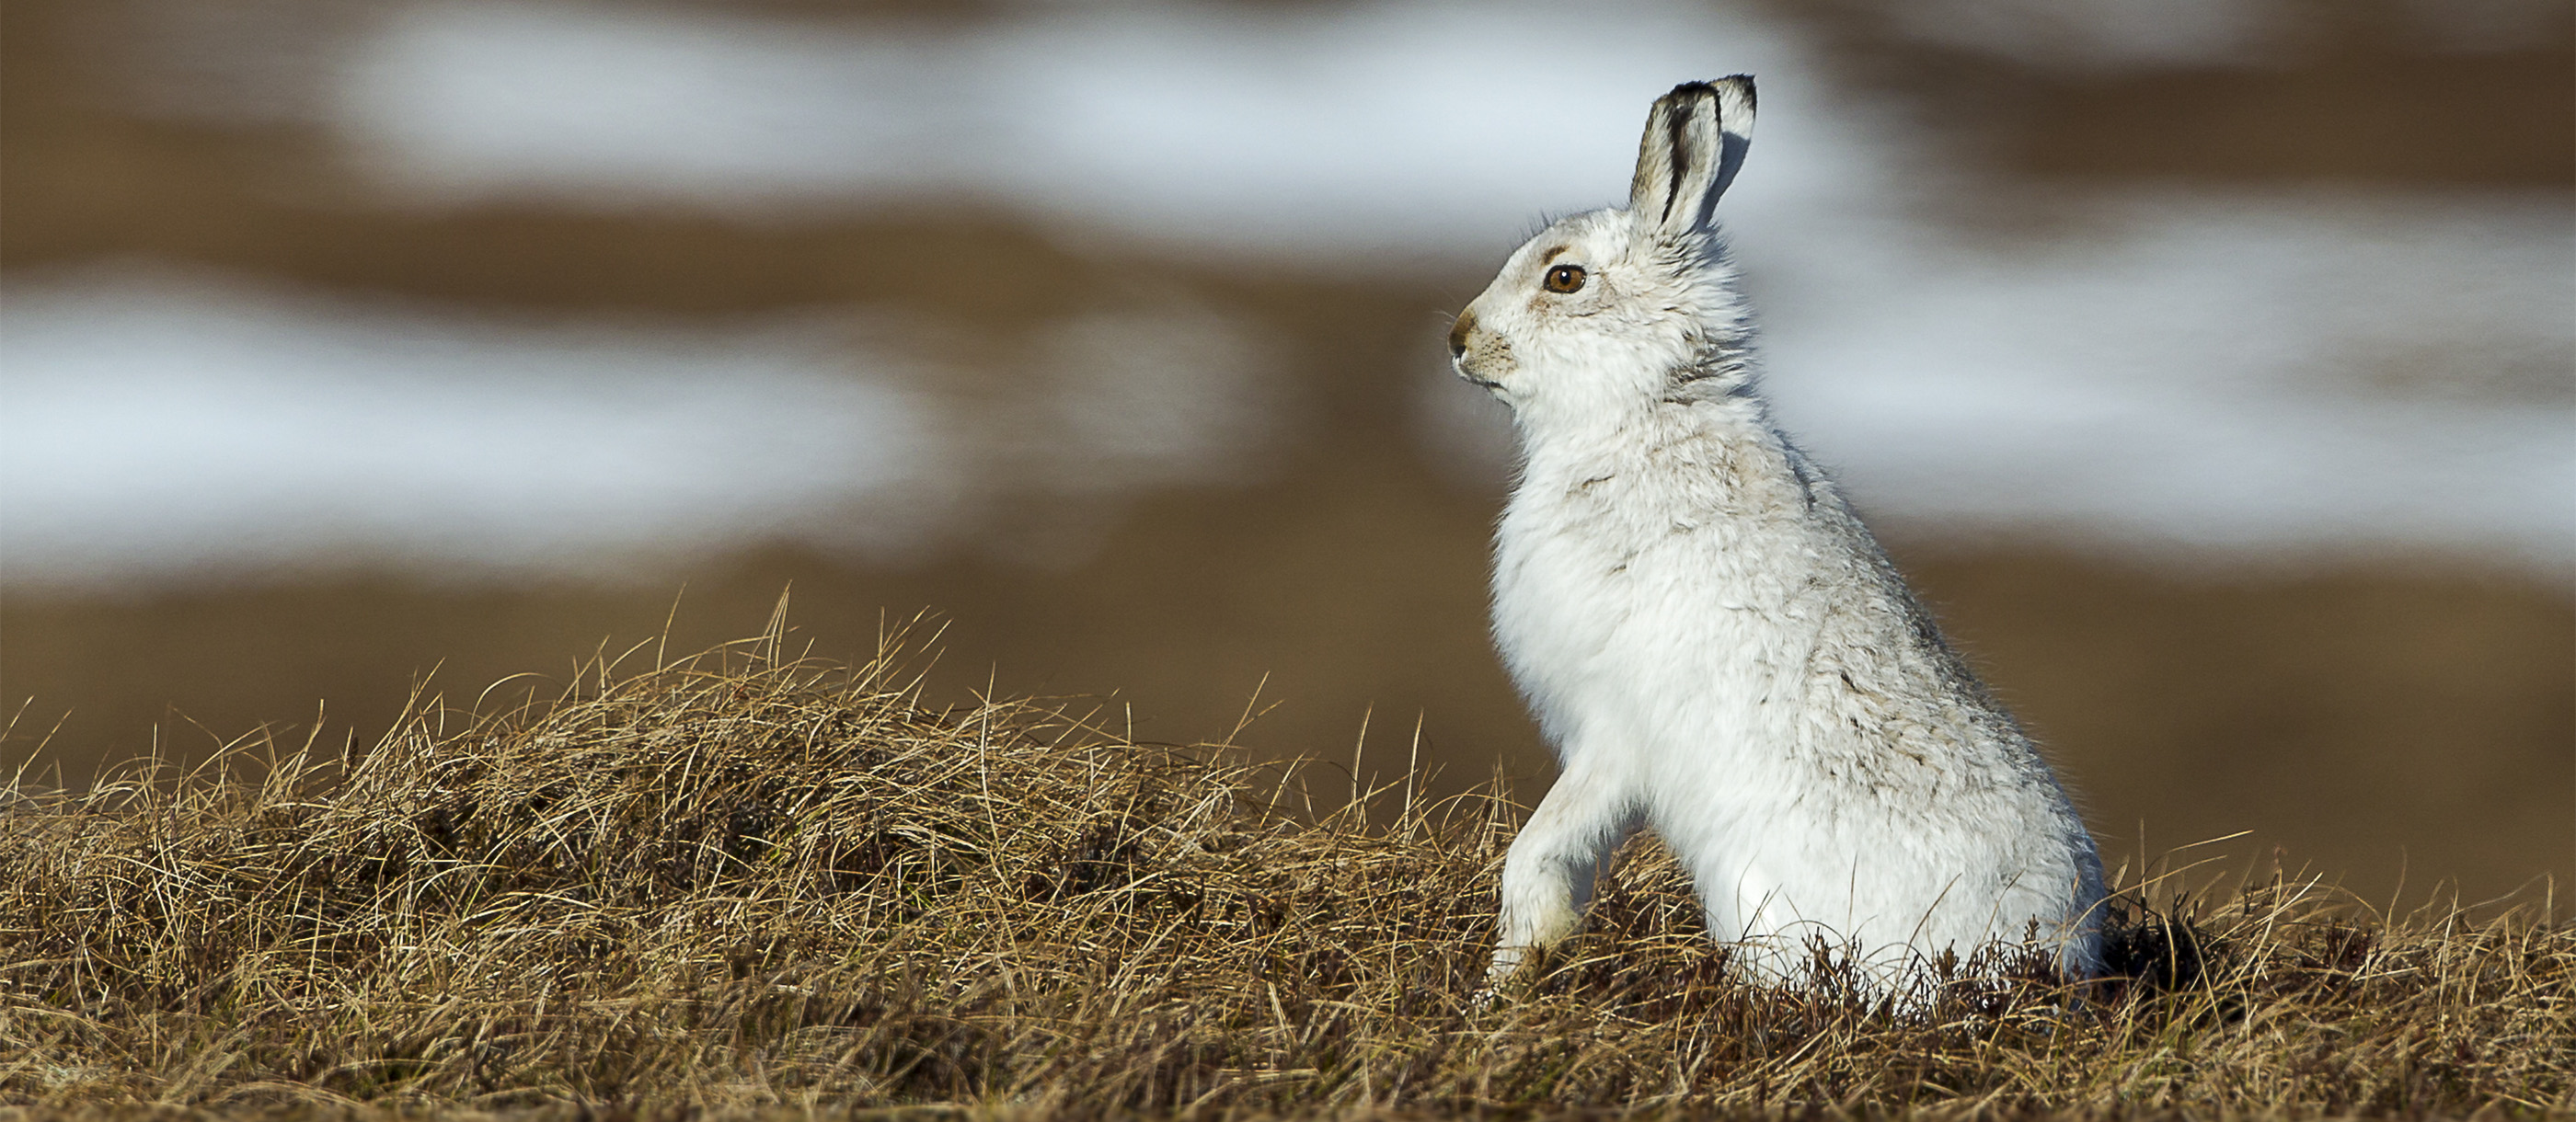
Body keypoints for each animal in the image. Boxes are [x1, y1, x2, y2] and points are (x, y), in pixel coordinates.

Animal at [1451, 77, 2106, 988]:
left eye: (1565, 277)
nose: (1459, 340)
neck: (1645, 416)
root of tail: (2055, 960)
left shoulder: (1611, 730)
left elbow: (1541, 849)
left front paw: (1505, 977)